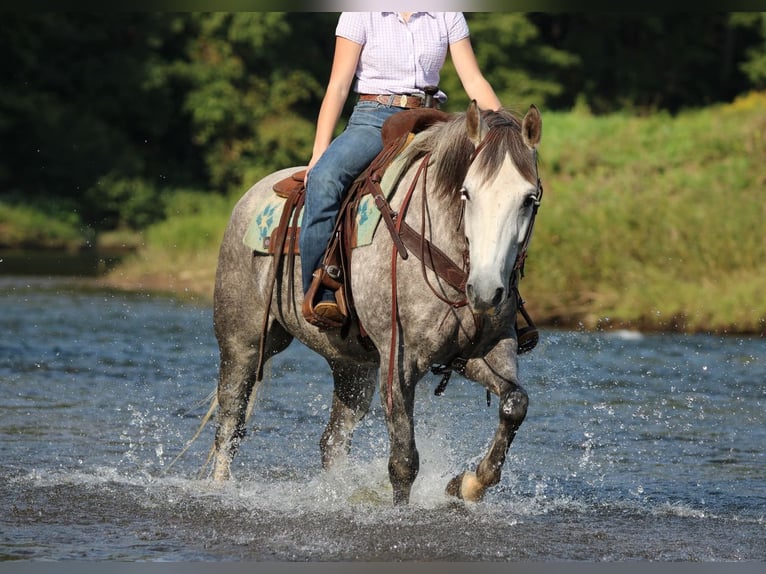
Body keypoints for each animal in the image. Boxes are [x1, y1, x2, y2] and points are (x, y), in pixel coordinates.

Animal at [210, 101, 543, 505]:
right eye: (467, 193)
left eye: (529, 198)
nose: (484, 290)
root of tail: (251, 195)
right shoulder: (398, 359)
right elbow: (403, 461)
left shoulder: (485, 350)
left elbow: (515, 404)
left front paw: (466, 484)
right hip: (241, 342)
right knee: (230, 424)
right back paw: (217, 489)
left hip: (352, 366)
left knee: (333, 441)